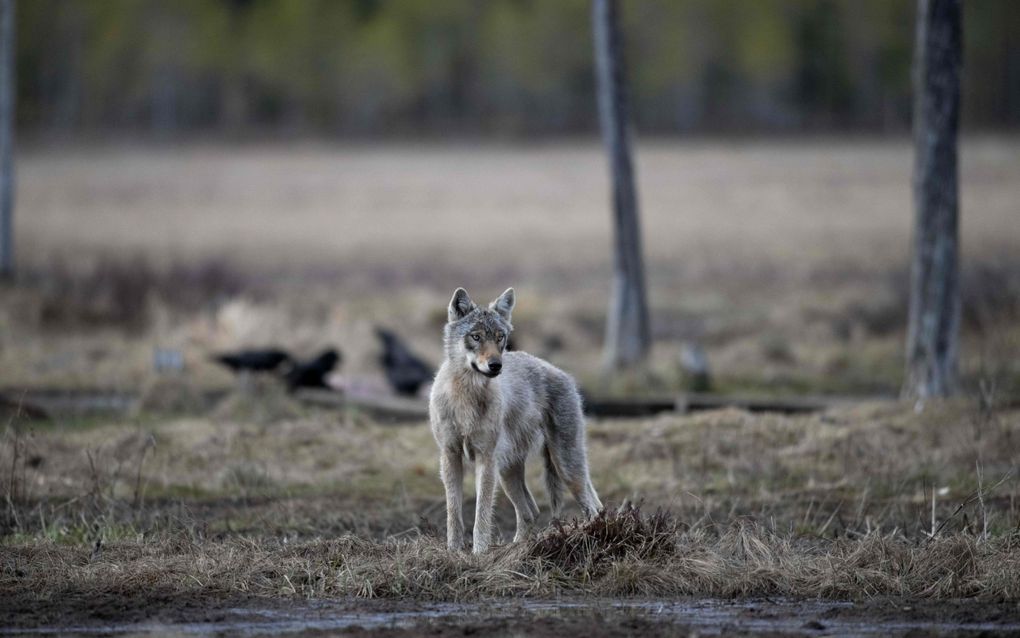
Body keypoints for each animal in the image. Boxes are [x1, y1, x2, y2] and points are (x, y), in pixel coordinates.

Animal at [426, 287, 599, 551]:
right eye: (476, 337)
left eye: (500, 337)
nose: (496, 365)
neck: (467, 396)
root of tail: (564, 375)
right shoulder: (450, 456)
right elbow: (454, 514)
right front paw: (454, 552)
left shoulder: (485, 459)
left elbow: (481, 515)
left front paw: (479, 553)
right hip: (508, 472)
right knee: (531, 511)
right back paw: (517, 549)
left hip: (565, 467)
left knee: (593, 507)